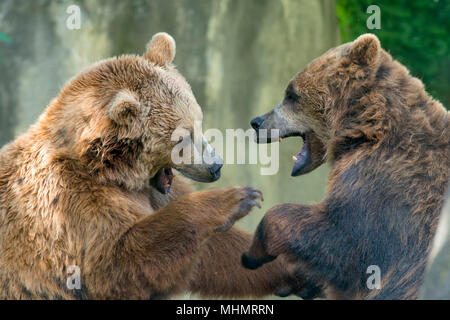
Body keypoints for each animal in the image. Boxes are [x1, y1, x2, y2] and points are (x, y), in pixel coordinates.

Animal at [0, 33, 316, 300]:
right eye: (182, 137)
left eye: (199, 122)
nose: (216, 166)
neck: (110, 170)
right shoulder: (74, 207)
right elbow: (119, 263)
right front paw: (238, 199)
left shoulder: (156, 192)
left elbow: (215, 253)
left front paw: (294, 267)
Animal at [244, 33, 448, 298]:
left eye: (291, 94)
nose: (257, 122)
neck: (364, 129)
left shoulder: (388, 185)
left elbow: (345, 240)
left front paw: (254, 252)